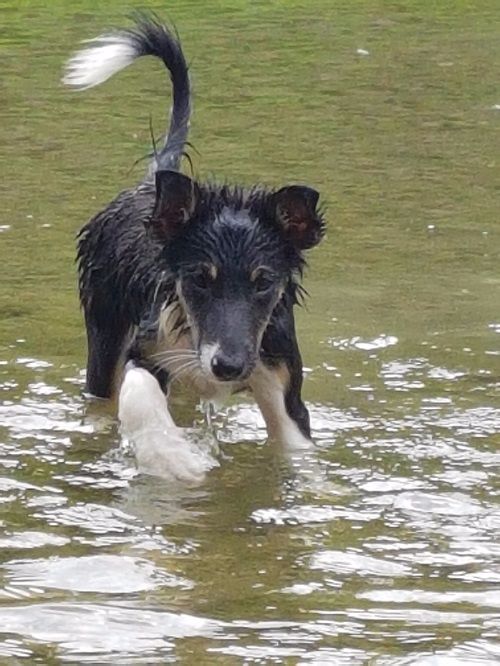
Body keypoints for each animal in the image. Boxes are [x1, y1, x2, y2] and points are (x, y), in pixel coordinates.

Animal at [62, 15, 326, 448]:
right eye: (200, 279)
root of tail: (152, 181)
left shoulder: (280, 378)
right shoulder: (147, 354)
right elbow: (146, 405)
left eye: (263, 282)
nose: (228, 367)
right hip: (103, 341)